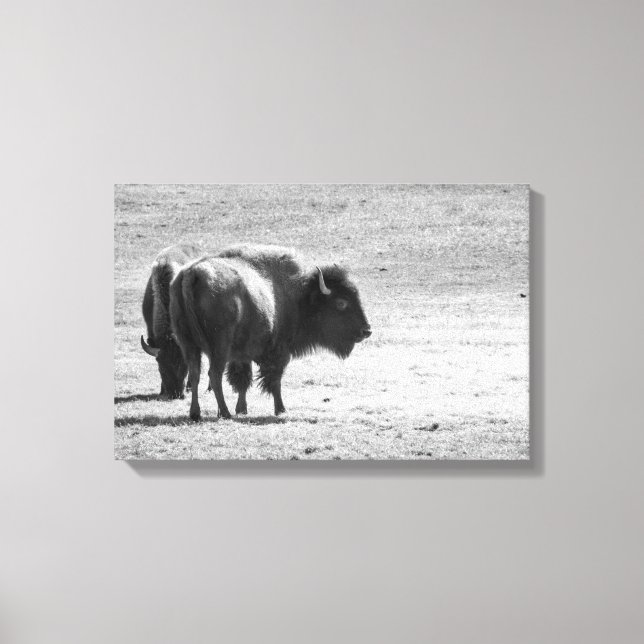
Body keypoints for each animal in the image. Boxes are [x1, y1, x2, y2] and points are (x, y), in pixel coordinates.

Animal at [169, 244, 371, 420]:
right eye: (341, 303)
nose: (366, 330)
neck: (300, 296)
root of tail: (192, 274)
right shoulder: (279, 352)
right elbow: (274, 380)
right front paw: (280, 409)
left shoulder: (241, 355)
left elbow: (242, 380)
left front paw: (242, 409)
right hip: (219, 348)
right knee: (214, 375)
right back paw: (224, 413)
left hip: (188, 344)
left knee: (195, 374)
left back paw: (196, 413)